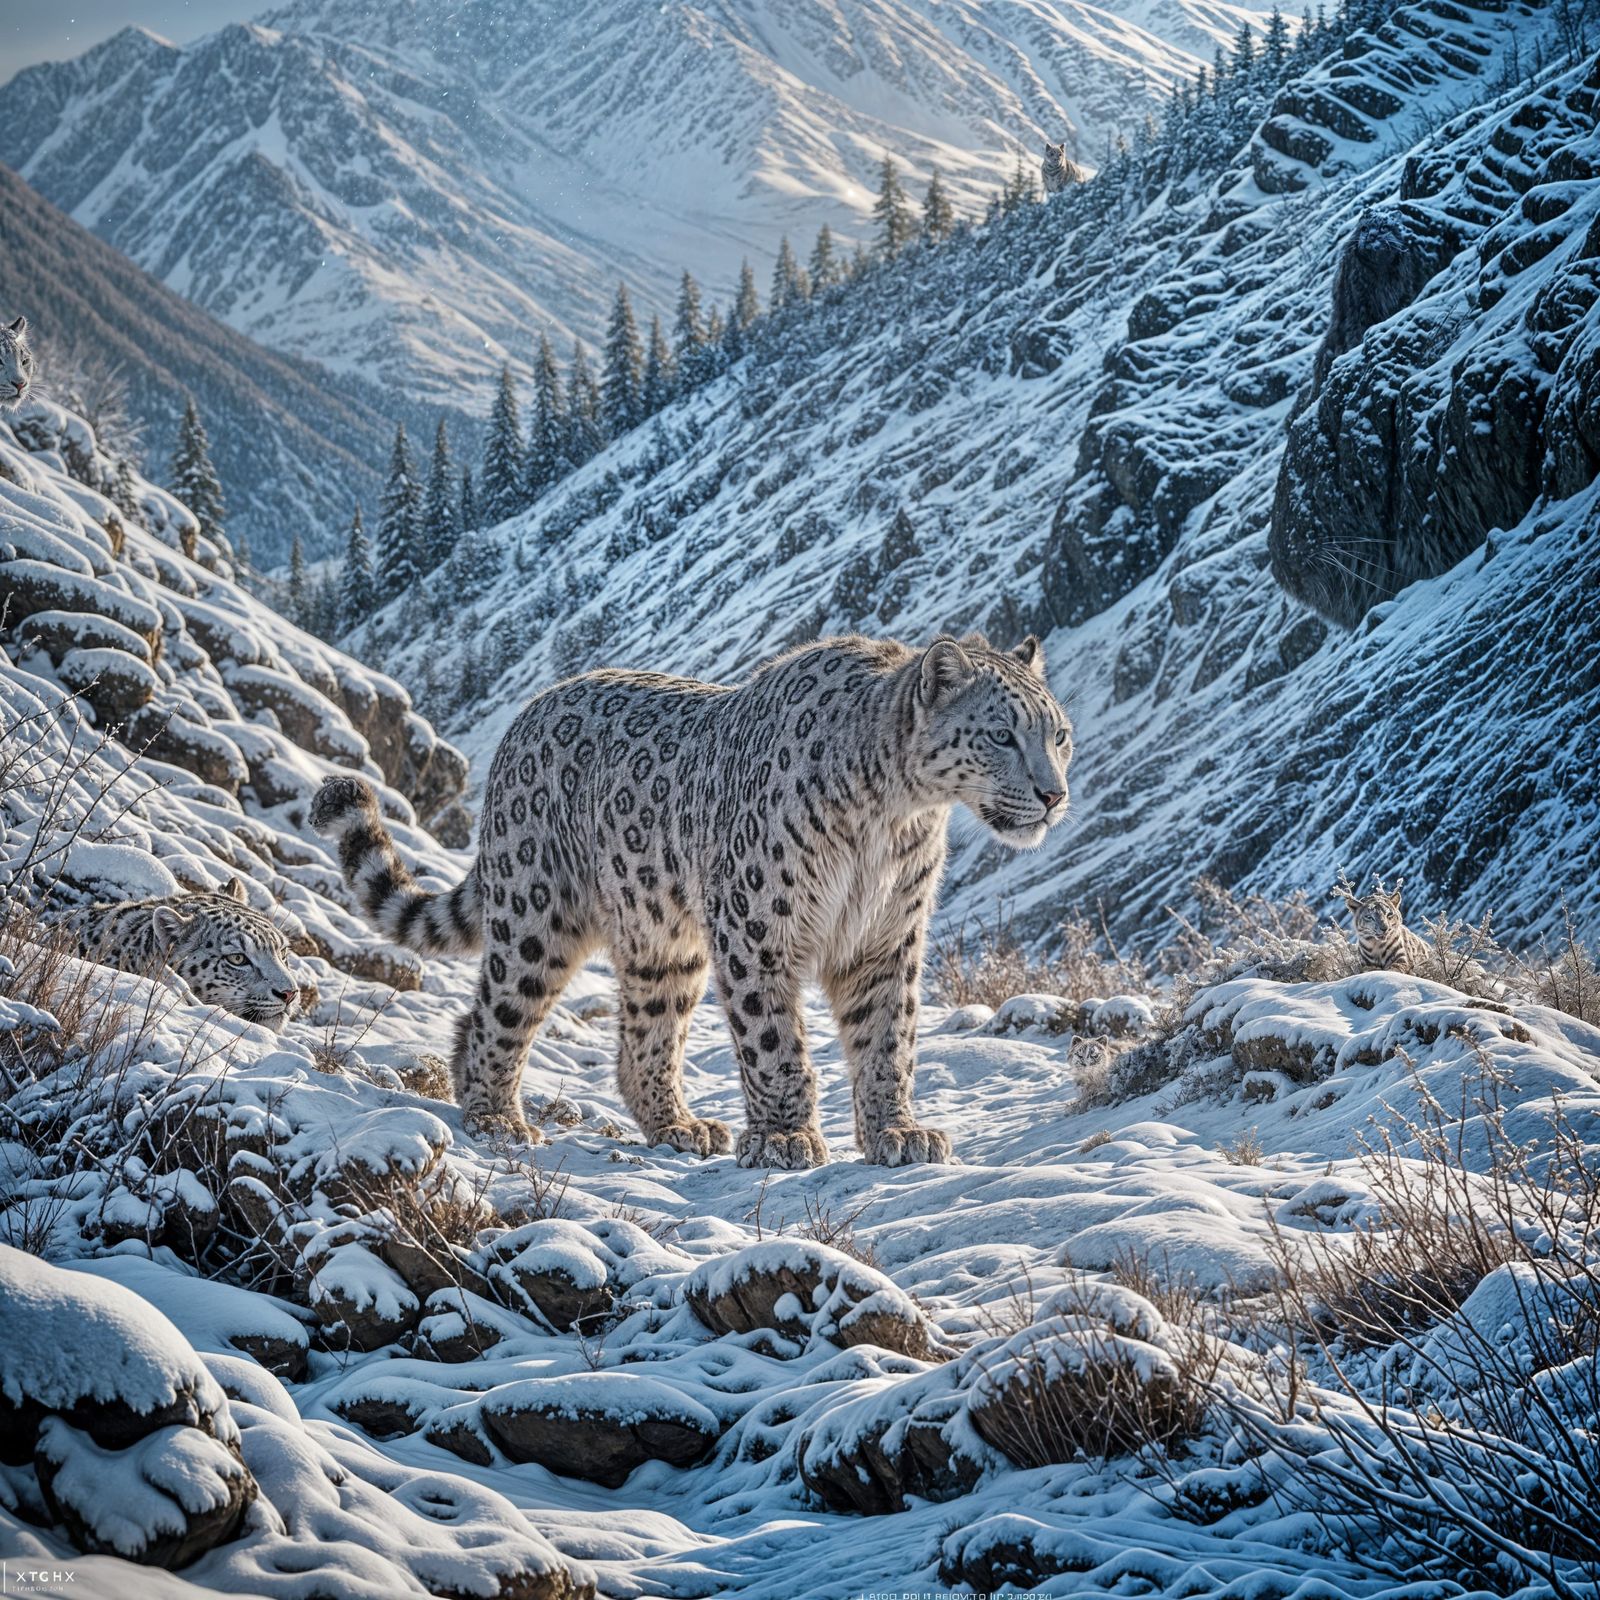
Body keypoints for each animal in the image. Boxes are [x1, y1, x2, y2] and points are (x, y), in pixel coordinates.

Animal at [312, 632, 1073, 1169]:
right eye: (1002, 733)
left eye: (1058, 734)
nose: (1054, 794)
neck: (897, 816)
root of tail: (522, 723)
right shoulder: (757, 925)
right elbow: (774, 1040)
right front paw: (786, 1137)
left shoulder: (885, 939)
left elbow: (889, 1038)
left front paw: (898, 1132)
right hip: (536, 913)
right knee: (492, 1013)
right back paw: (496, 1117)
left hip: (663, 944)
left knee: (644, 1038)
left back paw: (678, 1126)